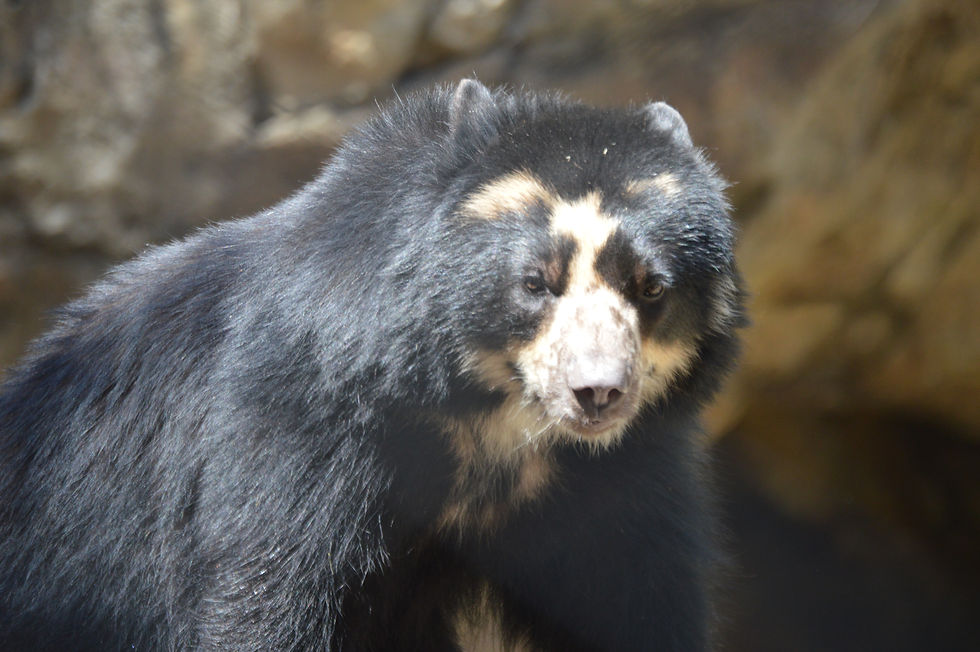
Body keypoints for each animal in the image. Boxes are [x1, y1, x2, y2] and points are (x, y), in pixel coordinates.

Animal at [0, 79, 744, 651]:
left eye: (651, 287)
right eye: (535, 283)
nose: (597, 392)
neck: (493, 417)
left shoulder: (620, 478)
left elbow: (629, 600)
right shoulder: (302, 425)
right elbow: (269, 593)